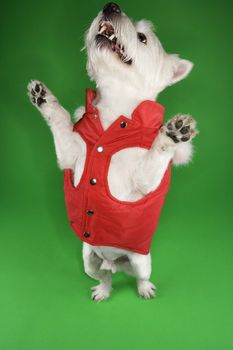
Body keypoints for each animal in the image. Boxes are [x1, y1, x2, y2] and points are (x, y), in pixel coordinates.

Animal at [28, 2, 198, 300]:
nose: (111, 6)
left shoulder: (144, 180)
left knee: (139, 276)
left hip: (141, 261)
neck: (114, 115)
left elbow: (156, 153)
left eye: (142, 38)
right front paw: (44, 98)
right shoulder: (69, 155)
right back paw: (103, 290)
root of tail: (115, 262)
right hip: (89, 260)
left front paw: (173, 132)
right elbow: (60, 119)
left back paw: (144, 289)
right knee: (105, 276)